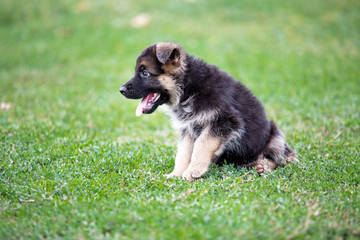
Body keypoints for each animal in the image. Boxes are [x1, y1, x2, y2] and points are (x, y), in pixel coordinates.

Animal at [119, 41, 296, 180]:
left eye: (145, 73)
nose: (121, 90)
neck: (189, 88)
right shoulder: (189, 128)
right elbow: (183, 152)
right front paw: (176, 174)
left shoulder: (225, 121)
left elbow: (202, 145)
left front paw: (193, 170)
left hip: (274, 134)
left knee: (280, 157)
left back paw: (266, 165)